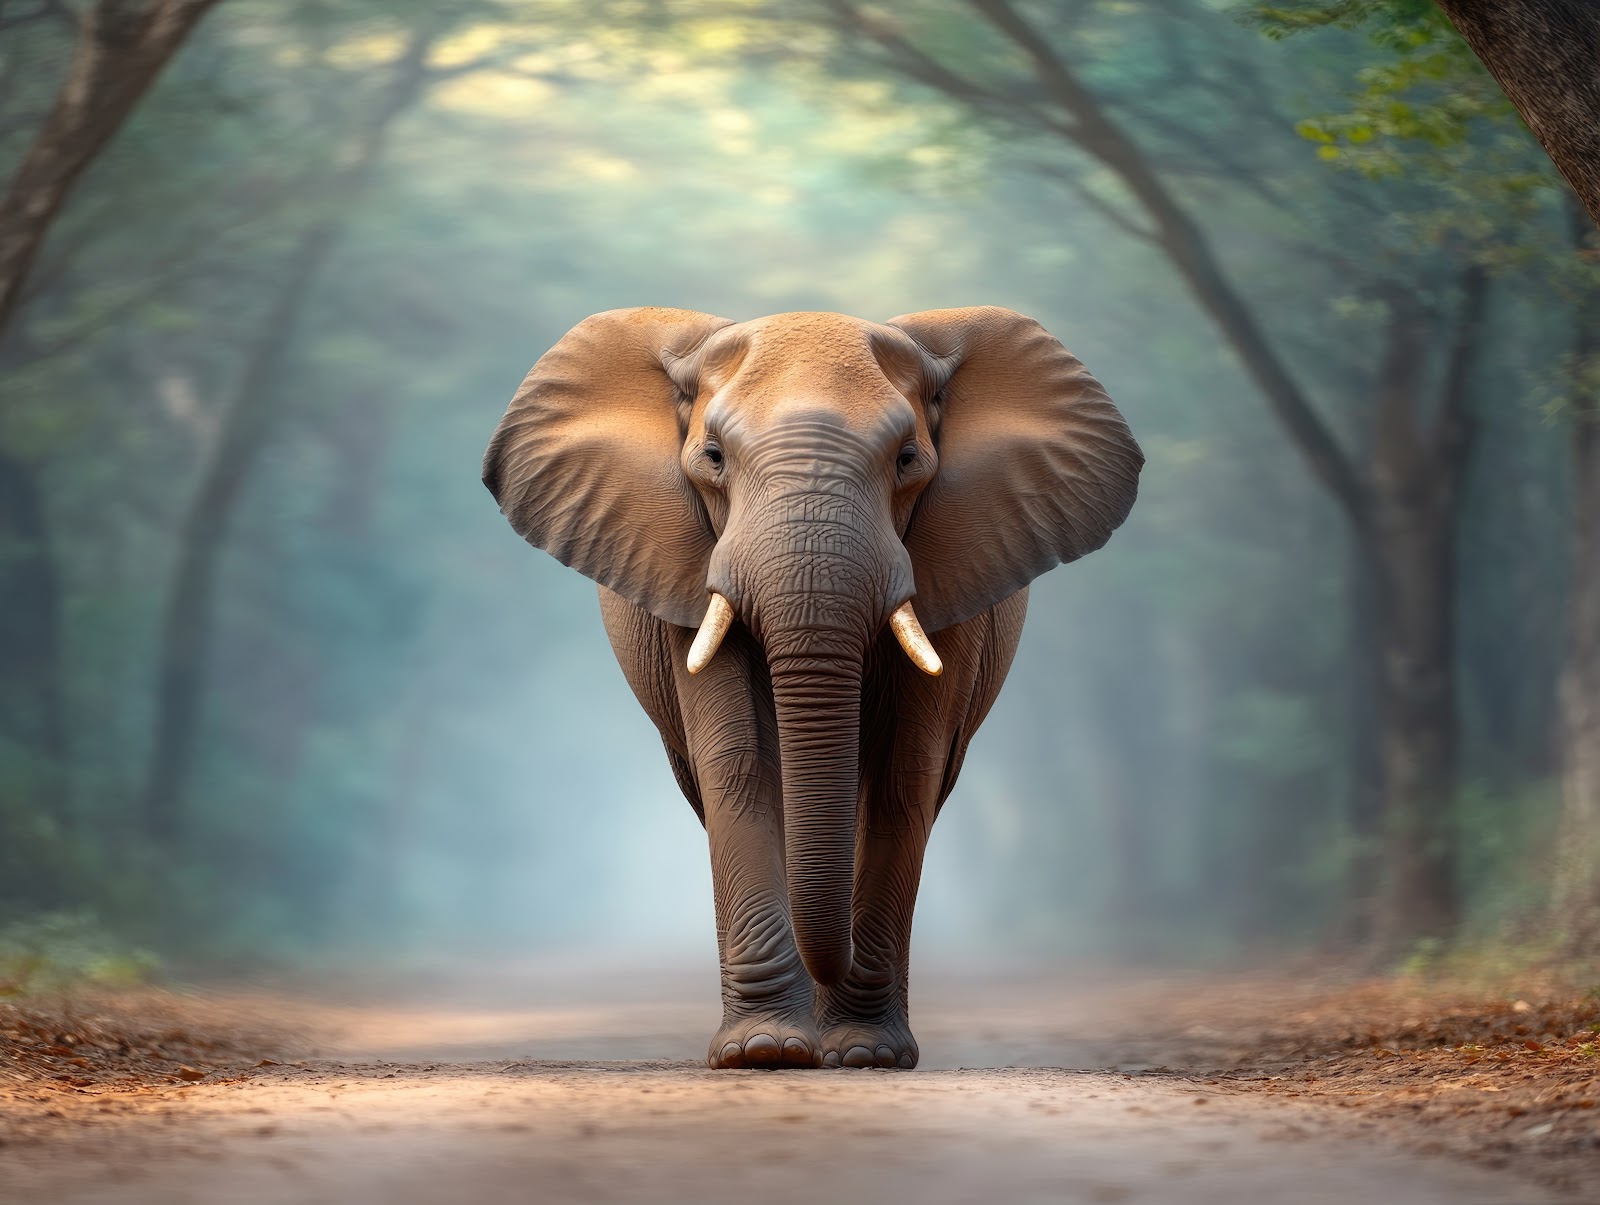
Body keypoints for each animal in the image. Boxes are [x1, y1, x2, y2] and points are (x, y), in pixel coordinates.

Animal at [482, 306, 1142, 1070]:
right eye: (713, 457)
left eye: (908, 460)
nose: (814, 1038)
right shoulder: (687, 567)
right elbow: (739, 764)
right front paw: (763, 1051)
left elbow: (901, 775)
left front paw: (864, 1054)